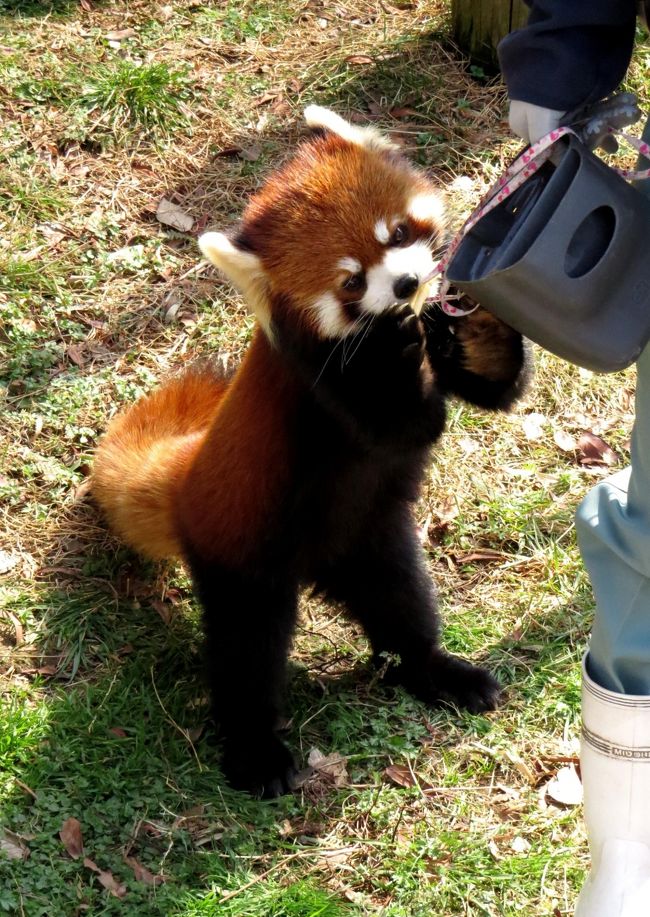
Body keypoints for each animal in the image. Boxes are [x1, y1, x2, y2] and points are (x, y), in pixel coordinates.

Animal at [92, 105, 528, 796]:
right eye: (350, 282)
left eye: (397, 231)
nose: (406, 284)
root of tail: (184, 480)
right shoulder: (327, 386)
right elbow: (405, 425)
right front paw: (404, 344)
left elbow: (489, 386)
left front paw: (474, 324)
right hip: (243, 560)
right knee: (246, 654)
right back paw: (255, 753)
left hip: (370, 538)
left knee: (401, 603)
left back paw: (436, 670)